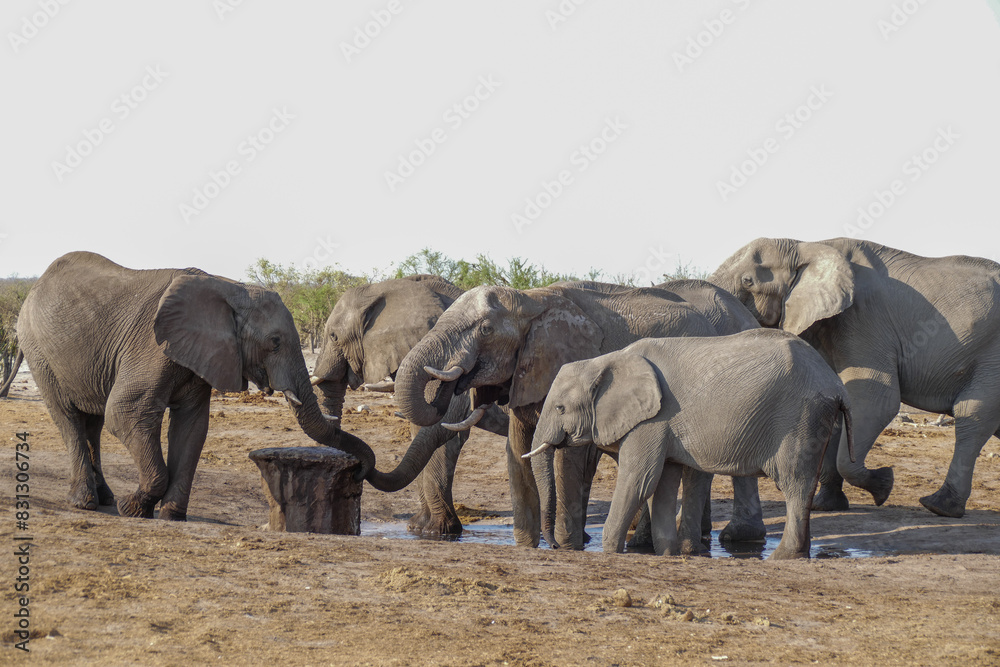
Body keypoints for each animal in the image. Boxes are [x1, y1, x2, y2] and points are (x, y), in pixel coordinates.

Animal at [16, 251, 375, 520]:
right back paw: (85, 503)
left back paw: (104, 499)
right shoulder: (151, 346)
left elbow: (192, 425)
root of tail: (35, 287)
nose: (358, 473)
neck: (230, 288)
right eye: (274, 343)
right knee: (69, 418)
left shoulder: (204, 353)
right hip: (37, 349)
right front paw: (132, 507)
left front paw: (171, 515)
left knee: (94, 422)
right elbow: (127, 413)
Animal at [308, 275, 508, 536]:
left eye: (333, 336)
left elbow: (444, 435)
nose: (356, 471)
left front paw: (436, 531)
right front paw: (417, 527)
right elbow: (420, 435)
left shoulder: (444, 365)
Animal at [393, 280, 766, 549]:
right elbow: (517, 449)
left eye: (485, 329)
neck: (531, 300)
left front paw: (568, 546)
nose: (452, 379)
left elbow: (567, 456)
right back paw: (645, 544)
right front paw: (527, 546)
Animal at [526, 330, 855, 559]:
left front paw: (611, 552)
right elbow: (662, 483)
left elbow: (639, 480)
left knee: (795, 483)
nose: (553, 547)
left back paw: (783, 557)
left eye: (560, 409)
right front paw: (667, 554)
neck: (606, 360)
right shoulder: (661, 424)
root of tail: (836, 385)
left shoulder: (652, 419)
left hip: (801, 418)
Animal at [711, 237, 1000, 518]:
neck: (806, 246)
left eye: (747, 281)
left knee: (973, 413)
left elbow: (876, 401)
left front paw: (884, 484)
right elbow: (836, 403)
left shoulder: (864, 319)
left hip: (991, 356)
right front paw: (825, 505)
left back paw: (939, 506)